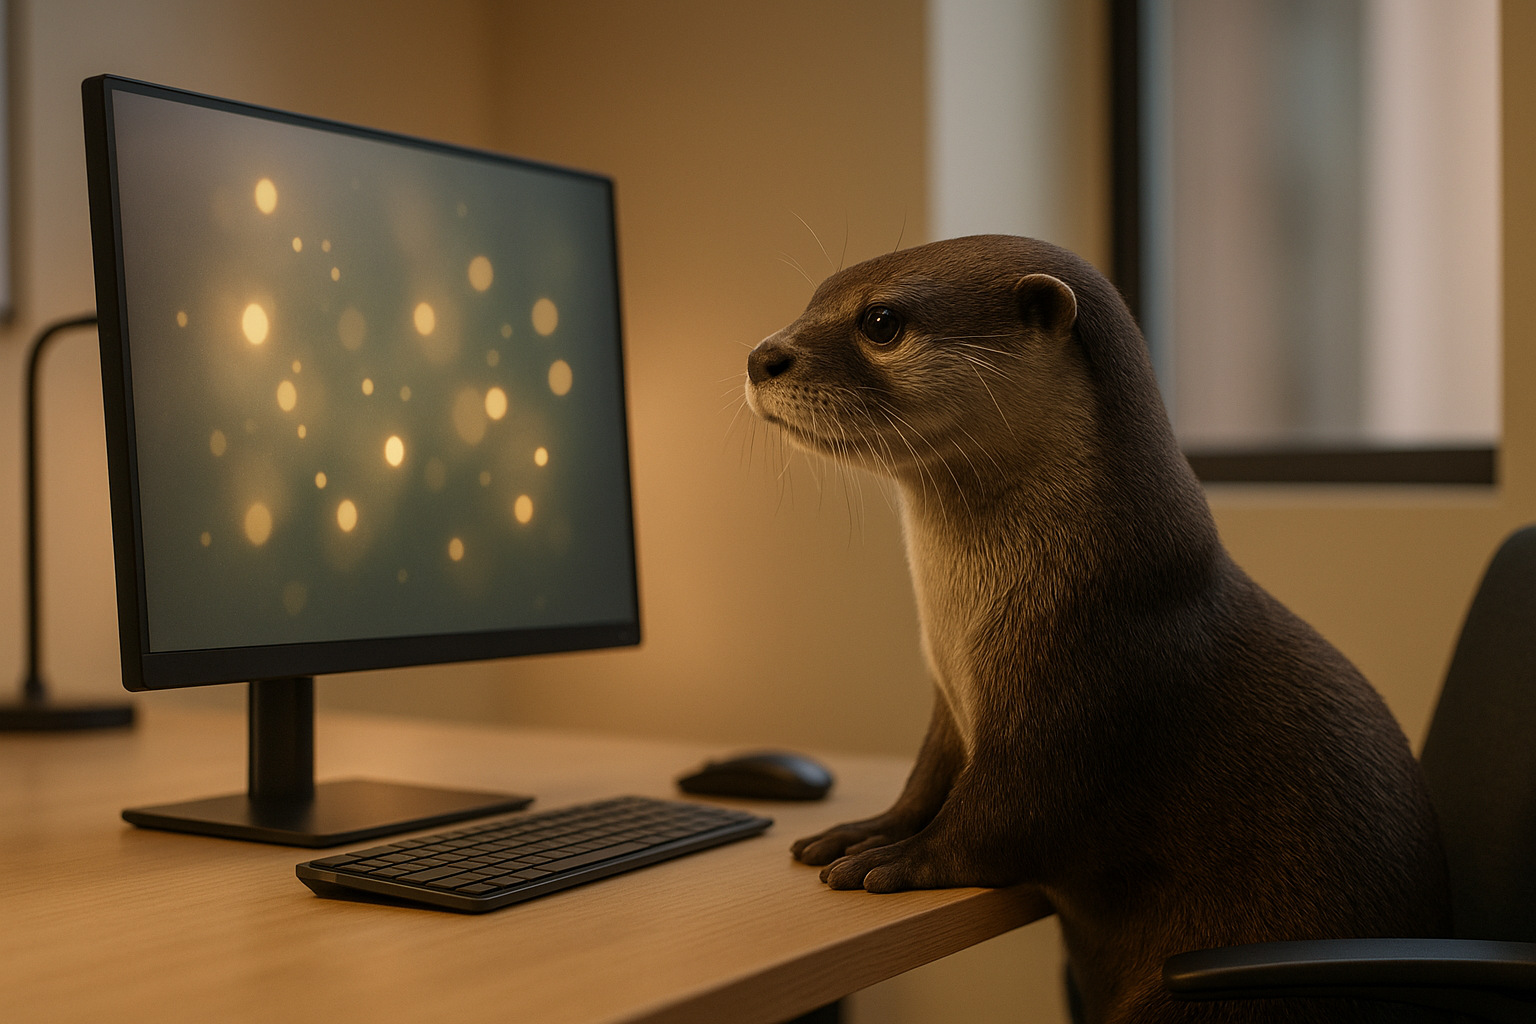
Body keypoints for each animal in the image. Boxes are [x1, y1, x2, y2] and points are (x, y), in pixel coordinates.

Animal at [743, 235, 1450, 1024]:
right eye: (813, 300)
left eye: (881, 321)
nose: (762, 356)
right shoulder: (952, 709)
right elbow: (926, 781)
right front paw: (860, 830)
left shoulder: (1082, 696)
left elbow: (1002, 820)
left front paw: (894, 860)